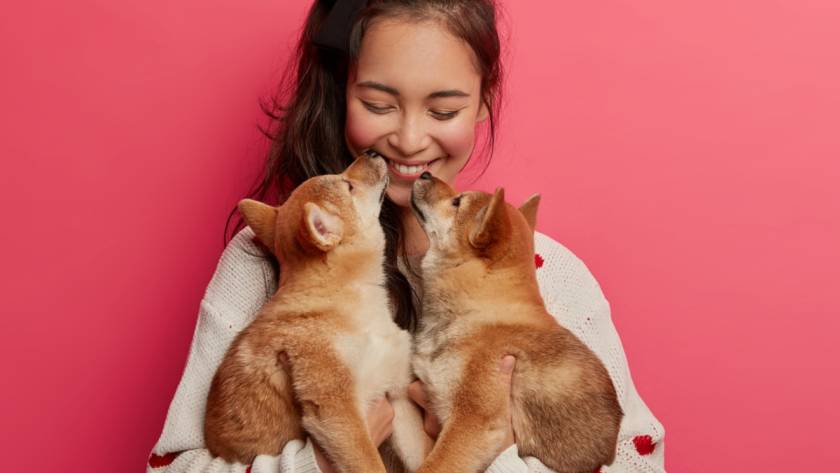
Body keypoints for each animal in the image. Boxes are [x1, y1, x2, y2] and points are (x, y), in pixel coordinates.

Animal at [204, 154, 434, 468]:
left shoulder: (396, 396)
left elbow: (422, 455)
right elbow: (369, 463)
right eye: (348, 186)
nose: (372, 153)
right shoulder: (338, 411)